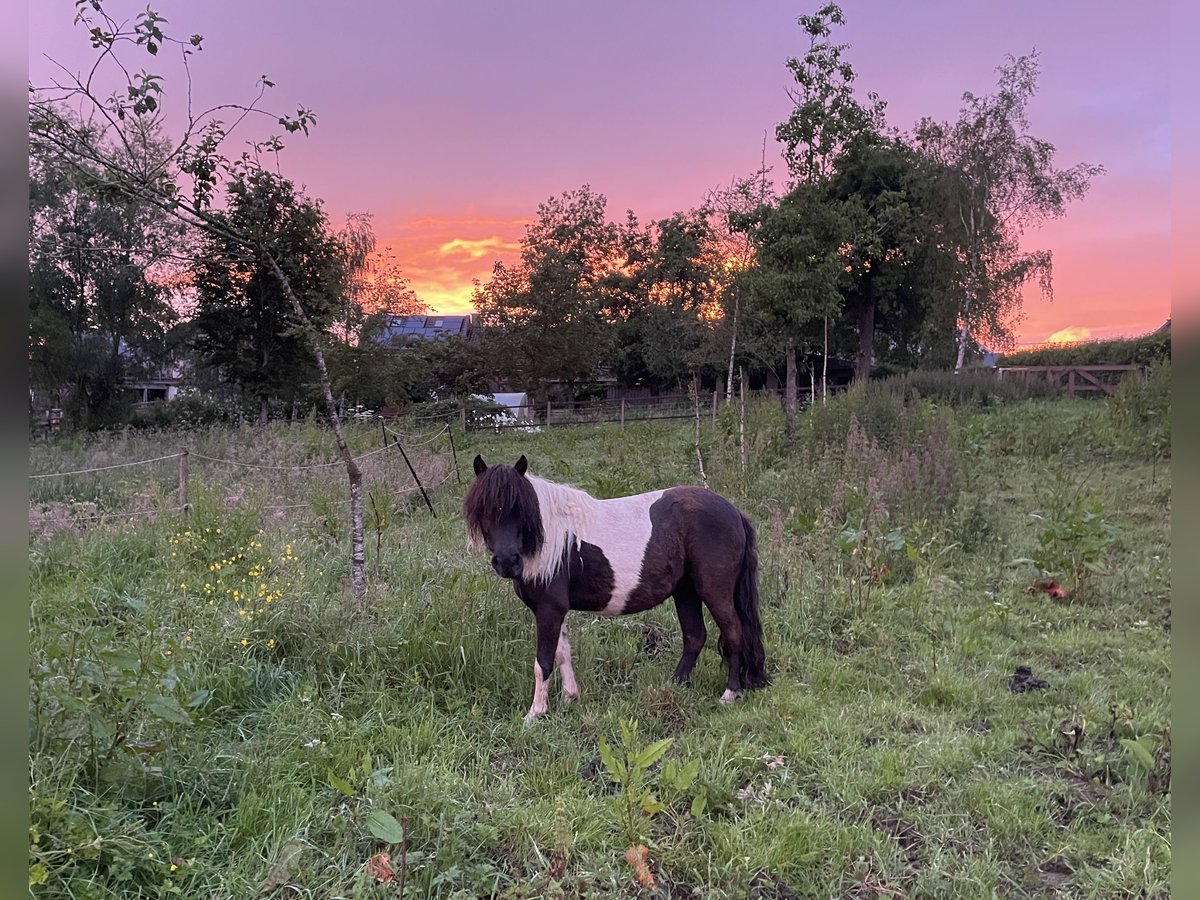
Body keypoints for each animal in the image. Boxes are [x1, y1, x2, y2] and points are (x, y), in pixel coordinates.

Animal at [460, 453, 768, 724]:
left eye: (520, 509)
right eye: (484, 510)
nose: (507, 562)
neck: (552, 538)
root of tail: (733, 511)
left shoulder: (549, 609)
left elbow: (543, 661)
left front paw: (535, 714)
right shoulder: (554, 611)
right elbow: (562, 653)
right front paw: (570, 699)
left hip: (714, 591)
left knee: (733, 632)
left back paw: (730, 693)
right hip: (686, 592)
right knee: (695, 637)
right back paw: (674, 685)